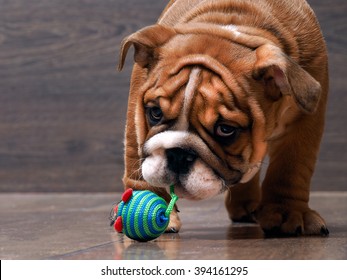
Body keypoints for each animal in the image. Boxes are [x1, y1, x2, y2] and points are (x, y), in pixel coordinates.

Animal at [118, 0, 330, 236]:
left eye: (225, 129)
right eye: (155, 113)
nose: (177, 154)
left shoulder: (304, 120)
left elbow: (292, 167)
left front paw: (287, 212)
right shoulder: (137, 101)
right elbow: (134, 154)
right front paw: (145, 199)